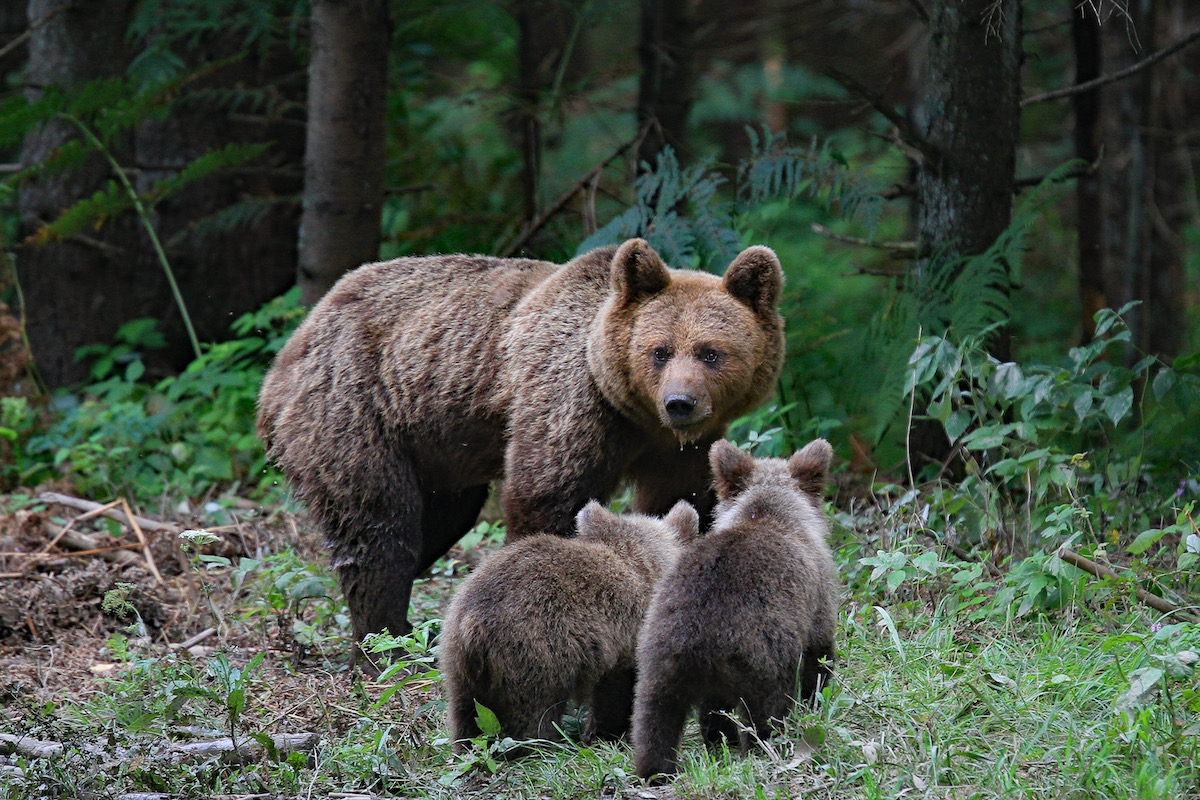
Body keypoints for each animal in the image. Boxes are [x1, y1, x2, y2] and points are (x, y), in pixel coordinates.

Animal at [256, 237, 782, 652]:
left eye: (711, 352)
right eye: (659, 350)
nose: (680, 402)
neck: (635, 414)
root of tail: (290, 349)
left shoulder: (681, 450)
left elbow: (681, 504)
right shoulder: (572, 405)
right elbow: (547, 497)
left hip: (440, 448)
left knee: (438, 522)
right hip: (355, 408)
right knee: (378, 527)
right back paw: (382, 644)